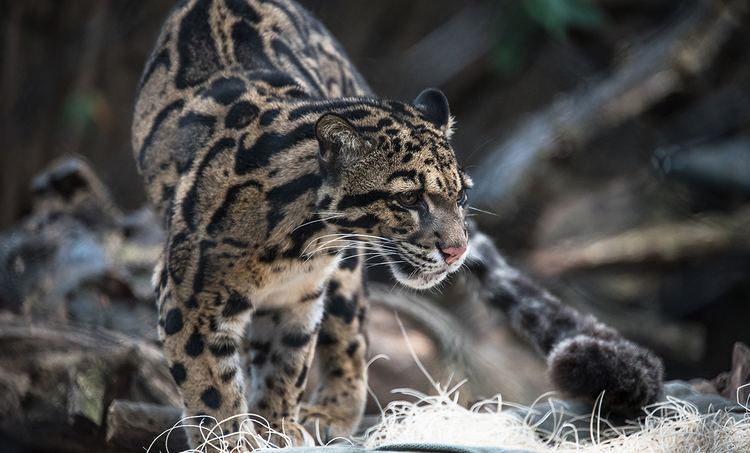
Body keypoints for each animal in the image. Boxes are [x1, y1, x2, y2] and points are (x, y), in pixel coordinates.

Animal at [134, 0, 664, 446]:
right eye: (409, 198)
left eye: (461, 195)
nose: (456, 251)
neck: (296, 243)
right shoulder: (191, 300)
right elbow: (211, 390)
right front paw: (231, 440)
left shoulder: (299, 300)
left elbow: (287, 366)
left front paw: (278, 430)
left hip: (344, 276)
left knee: (349, 330)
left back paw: (332, 411)